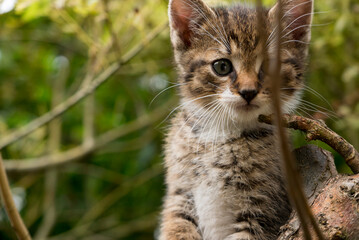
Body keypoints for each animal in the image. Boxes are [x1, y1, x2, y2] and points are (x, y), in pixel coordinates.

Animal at [159, 0, 314, 239]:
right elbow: (177, 226)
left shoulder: (263, 210)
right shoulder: (180, 195)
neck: (221, 133)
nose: (248, 92)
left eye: (269, 66)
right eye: (222, 66)